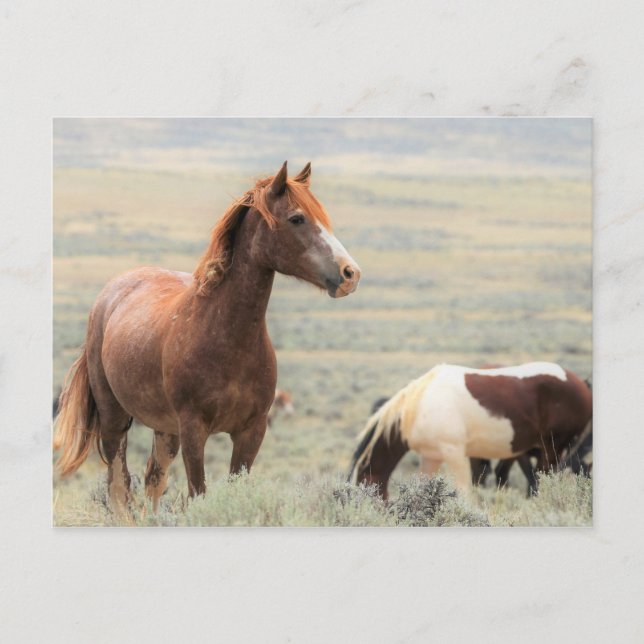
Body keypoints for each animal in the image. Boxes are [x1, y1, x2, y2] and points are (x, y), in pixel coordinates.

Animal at [54, 161, 361, 510]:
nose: (350, 273)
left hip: (165, 429)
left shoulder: (251, 431)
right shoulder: (193, 430)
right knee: (119, 485)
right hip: (114, 417)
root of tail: (111, 292)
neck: (229, 339)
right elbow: (197, 493)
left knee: (153, 479)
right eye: (297, 218)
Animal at [349, 362, 592, 498]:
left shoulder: (455, 453)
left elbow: (464, 492)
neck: (420, 404)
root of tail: (582, 384)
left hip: (552, 450)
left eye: (362, 489)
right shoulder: (431, 457)